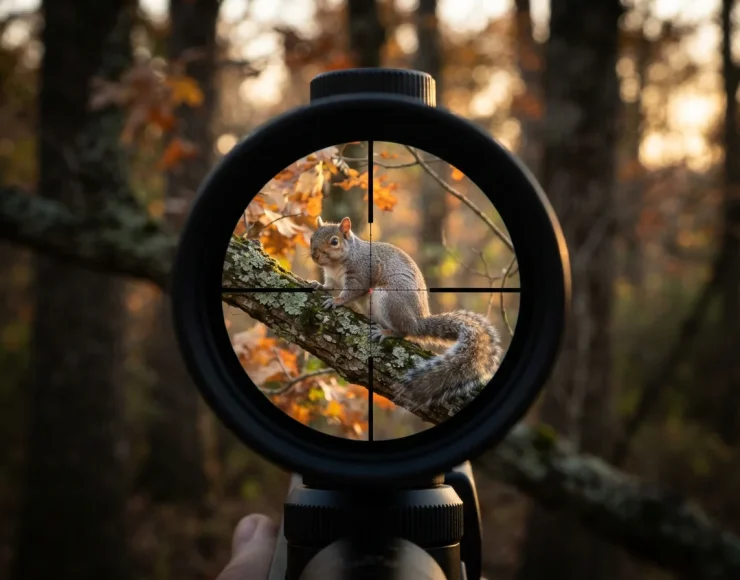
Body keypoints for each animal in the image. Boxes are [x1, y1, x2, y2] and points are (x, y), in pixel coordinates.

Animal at [308, 216, 502, 410]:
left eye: (334, 241)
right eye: (311, 237)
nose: (314, 255)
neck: (336, 264)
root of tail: (416, 321)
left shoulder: (362, 272)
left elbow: (352, 291)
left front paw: (337, 301)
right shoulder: (332, 278)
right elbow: (328, 286)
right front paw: (317, 285)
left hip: (389, 300)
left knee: (403, 331)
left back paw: (387, 332)